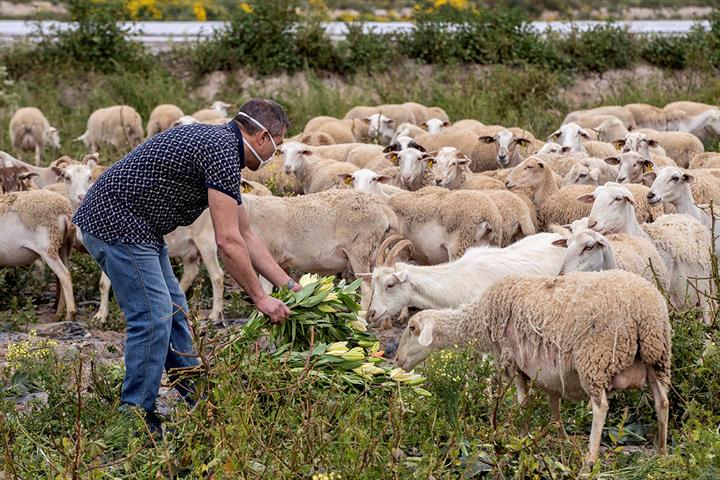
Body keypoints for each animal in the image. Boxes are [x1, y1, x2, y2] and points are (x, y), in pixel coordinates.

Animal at [0, 189, 76, 320]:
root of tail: (64, 211)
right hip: (63, 246)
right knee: (64, 275)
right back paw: (59, 314)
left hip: (48, 248)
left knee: (64, 275)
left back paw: (70, 315)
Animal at [396, 268, 672, 464]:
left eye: (411, 328)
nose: (397, 360)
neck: (480, 320)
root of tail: (645, 310)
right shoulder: (550, 370)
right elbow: (554, 405)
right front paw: (562, 440)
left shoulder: (514, 362)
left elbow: (523, 404)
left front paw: (522, 440)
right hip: (657, 357)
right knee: (663, 402)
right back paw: (661, 452)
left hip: (595, 358)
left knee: (601, 406)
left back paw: (590, 460)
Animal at [584, 184, 712, 322]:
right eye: (594, 198)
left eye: (618, 198)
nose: (591, 223)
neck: (644, 238)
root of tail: (686, 217)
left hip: (704, 290)